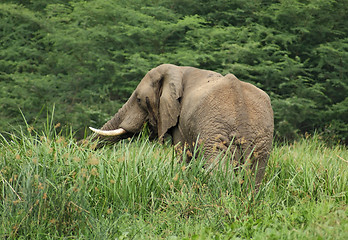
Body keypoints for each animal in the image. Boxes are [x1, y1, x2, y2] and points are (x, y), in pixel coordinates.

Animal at [89, 63, 274, 188]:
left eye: (139, 100)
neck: (178, 70)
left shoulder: (181, 123)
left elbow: (183, 154)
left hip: (215, 134)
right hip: (261, 140)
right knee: (255, 175)